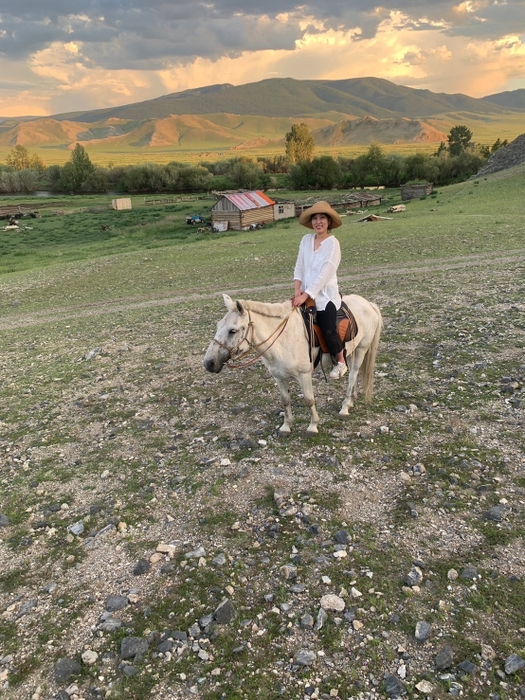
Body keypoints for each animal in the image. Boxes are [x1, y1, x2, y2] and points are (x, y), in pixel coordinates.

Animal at [204, 292, 380, 432]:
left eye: (232, 331)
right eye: (218, 326)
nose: (209, 363)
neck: (282, 340)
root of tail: (368, 303)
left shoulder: (304, 375)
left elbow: (309, 400)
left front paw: (313, 425)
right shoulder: (278, 377)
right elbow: (285, 400)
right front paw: (286, 426)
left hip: (362, 348)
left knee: (353, 375)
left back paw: (345, 407)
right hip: (351, 351)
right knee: (353, 375)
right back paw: (351, 401)